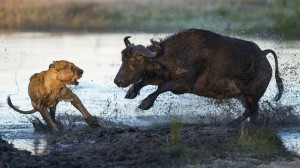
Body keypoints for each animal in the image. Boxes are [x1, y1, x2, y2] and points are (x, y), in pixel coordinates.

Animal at [114, 28, 284, 123]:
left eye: (134, 61)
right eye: (123, 58)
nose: (117, 81)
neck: (178, 54)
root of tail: (263, 55)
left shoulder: (184, 84)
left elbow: (161, 87)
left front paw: (145, 103)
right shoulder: (163, 76)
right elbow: (146, 80)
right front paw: (131, 92)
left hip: (251, 95)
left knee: (251, 111)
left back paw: (233, 123)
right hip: (244, 96)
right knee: (254, 112)